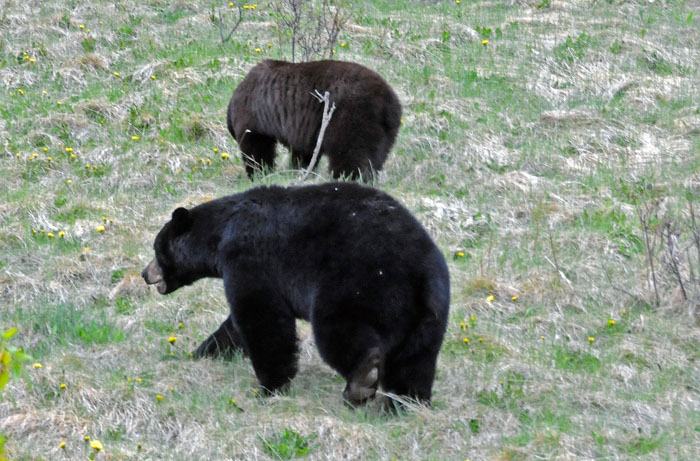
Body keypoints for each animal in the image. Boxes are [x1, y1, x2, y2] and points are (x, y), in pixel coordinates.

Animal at [142, 181, 448, 404]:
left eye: (157, 248)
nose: (145, 273)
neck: (221, 233)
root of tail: (419, 269)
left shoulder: (249, 256)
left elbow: (261, 318)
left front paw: (270, 387)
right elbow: (234, 327)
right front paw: (201, 352)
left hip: (356, 283)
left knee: (337, 330)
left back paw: (361, 383)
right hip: (428, 309)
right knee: (416, 358)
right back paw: (406, 401)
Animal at [227, 60, 402, 181]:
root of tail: (387, 103)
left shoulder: (254, 117)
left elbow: (257, 149)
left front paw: (259, 172)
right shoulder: (305, 129)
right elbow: (305, 151)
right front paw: (300, 169)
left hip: (351, 116)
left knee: (349, 153)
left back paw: (345, 177)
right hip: (386, 130)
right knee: (377, 155)